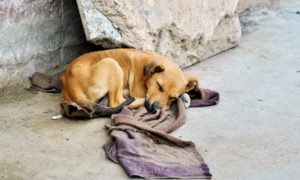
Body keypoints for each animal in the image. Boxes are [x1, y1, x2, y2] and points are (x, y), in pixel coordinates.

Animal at [60, 48, 199, 114]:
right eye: (159, 86)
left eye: (172, 98)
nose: (155, 109)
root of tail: (67, 83)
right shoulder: (139, 91)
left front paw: (184, 96)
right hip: (112, 63)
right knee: (117, 102)